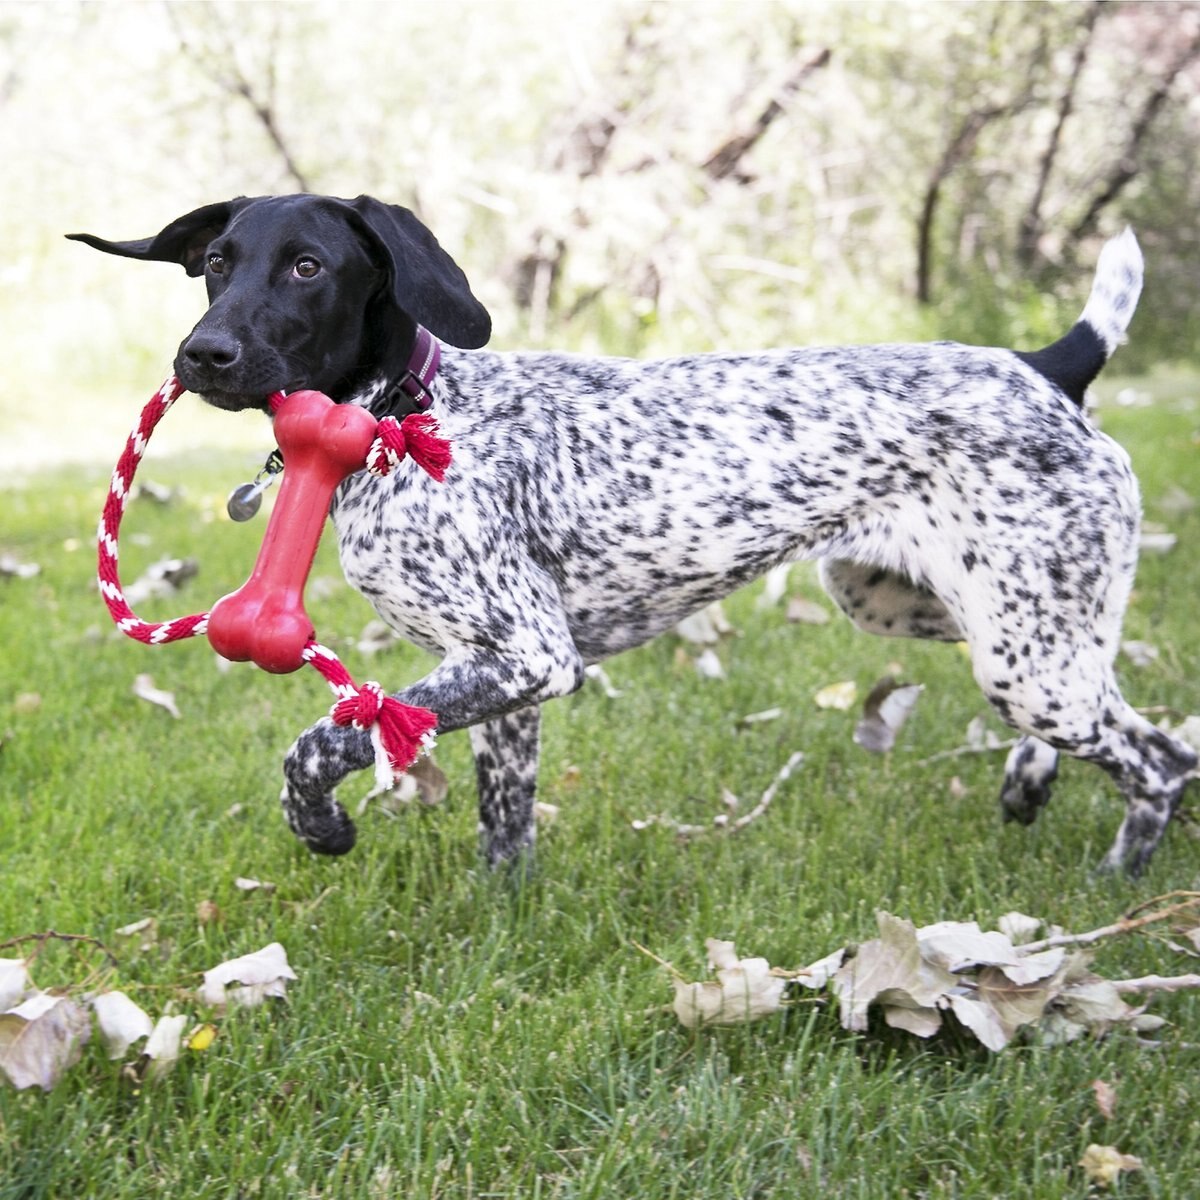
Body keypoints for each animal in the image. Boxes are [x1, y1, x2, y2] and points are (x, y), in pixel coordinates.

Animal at [70, 194, 1195, 873]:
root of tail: (1047, 364)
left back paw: (1117, 881)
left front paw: (322, 821)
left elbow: (321, 741)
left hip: (1026, 659)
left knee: (1161, 762)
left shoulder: (527, 655)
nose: (201, 354)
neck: (415, 416)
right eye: (216, 264)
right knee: (1146, 723)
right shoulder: (503, 678)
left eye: (307, 266)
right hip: (957, 615)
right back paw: (1034, 787)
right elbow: (505, 828)